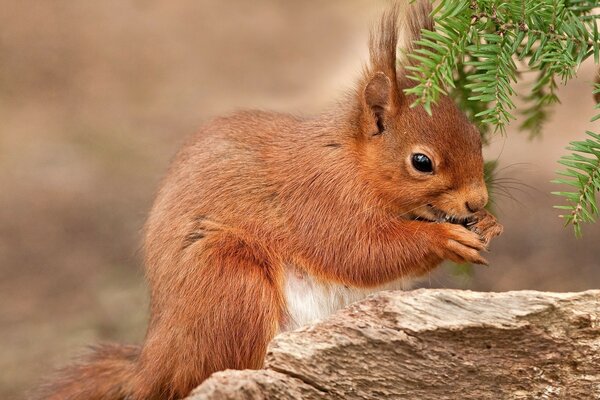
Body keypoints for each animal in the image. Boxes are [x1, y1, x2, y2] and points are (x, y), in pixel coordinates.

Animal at [38, 1, 502, 398]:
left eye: (476, 136)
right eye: (421, 162)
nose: (477, 201)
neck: (352, 161)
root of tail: (154, 364)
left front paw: (490, 223)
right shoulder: (319, 199)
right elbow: (360, 253)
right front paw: (444, 239)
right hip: (230, 282)